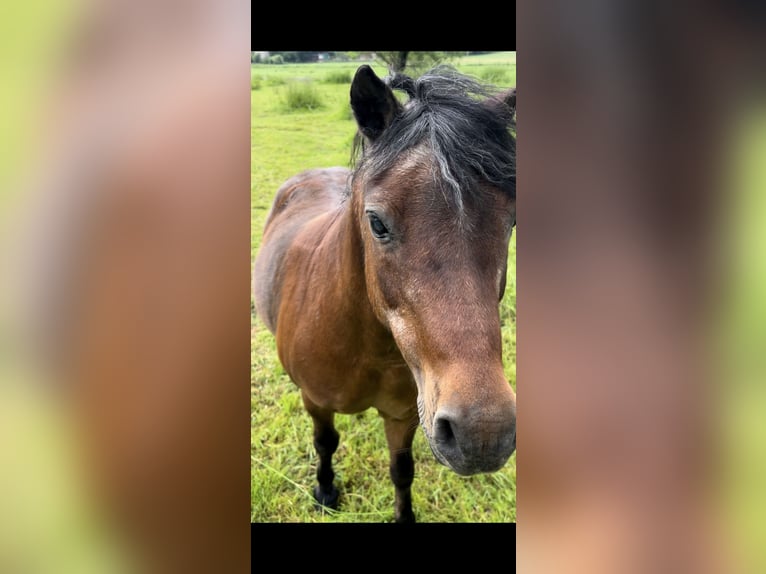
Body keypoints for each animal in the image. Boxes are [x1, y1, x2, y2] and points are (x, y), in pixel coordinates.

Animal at [254, 65, 516, 524]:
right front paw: (326, 491)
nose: (483, 432)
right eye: (376, 222)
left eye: (511, 222)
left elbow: (402, 470)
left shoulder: (403, 416)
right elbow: (325, 443)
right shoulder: (315, 403)